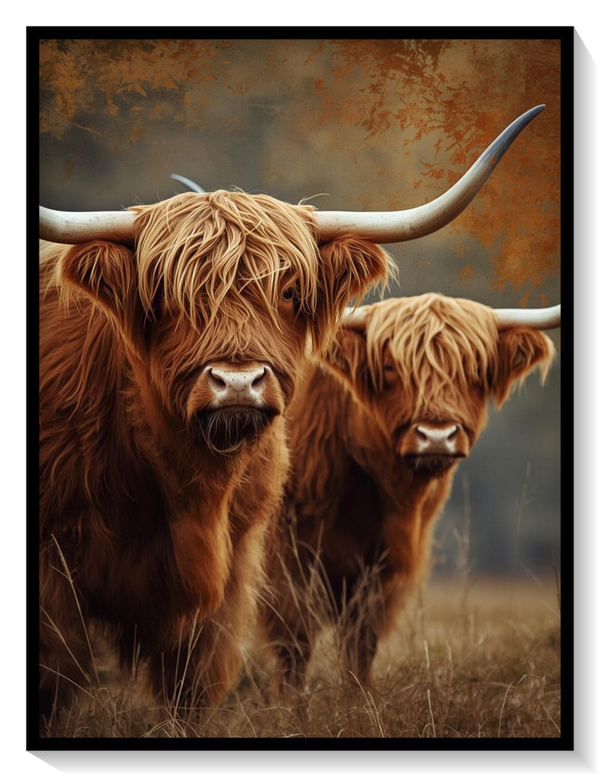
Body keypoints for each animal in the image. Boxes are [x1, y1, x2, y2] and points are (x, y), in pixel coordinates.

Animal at [263, 293, 559, 688]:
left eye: (474, 370)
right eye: (390, 367)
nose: (436, 436)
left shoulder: (388, 567)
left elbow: (362, 643)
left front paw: (358, 697)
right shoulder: (285, 557)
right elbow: (294, 644)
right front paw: (292, 705)